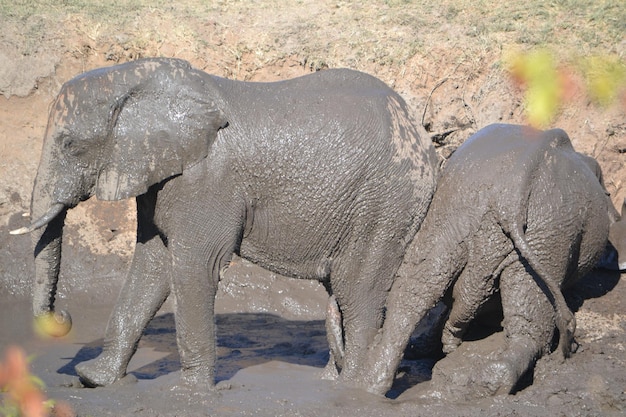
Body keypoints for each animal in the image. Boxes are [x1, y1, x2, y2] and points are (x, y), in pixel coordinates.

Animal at [11, 57, 438, 386]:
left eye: (71, 146)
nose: (64, 317)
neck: (135, 78)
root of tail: (421, 134)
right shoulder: (164, 175)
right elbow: (152, 265)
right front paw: (95, 379)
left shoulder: (205, 180)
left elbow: (194, 265)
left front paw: (191, 393)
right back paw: (328, 384)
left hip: (386, 205)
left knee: (358, 297)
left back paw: (351, 391)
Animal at [358, 122, 620, 396]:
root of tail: (512, 193)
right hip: (548, 228)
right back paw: (490, 385)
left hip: (465, 214)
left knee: (414, 291)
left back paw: (370, 383)